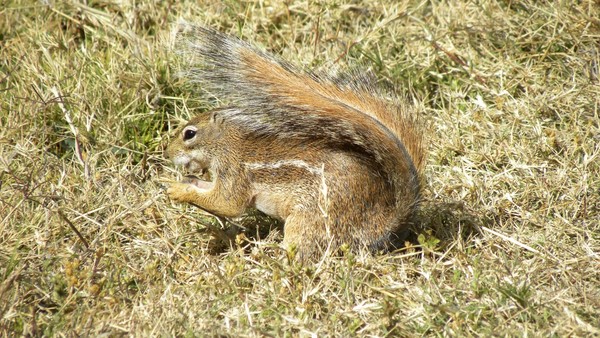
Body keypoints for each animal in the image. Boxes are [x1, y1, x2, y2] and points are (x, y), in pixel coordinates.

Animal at [166, 23, 424, 260]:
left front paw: (178, 191)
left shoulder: (235, 175)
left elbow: (225, 204)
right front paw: (184, 182)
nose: (168, 153)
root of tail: (384, 225)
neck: (228, 145)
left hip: (310, 220)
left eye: (189, 134)